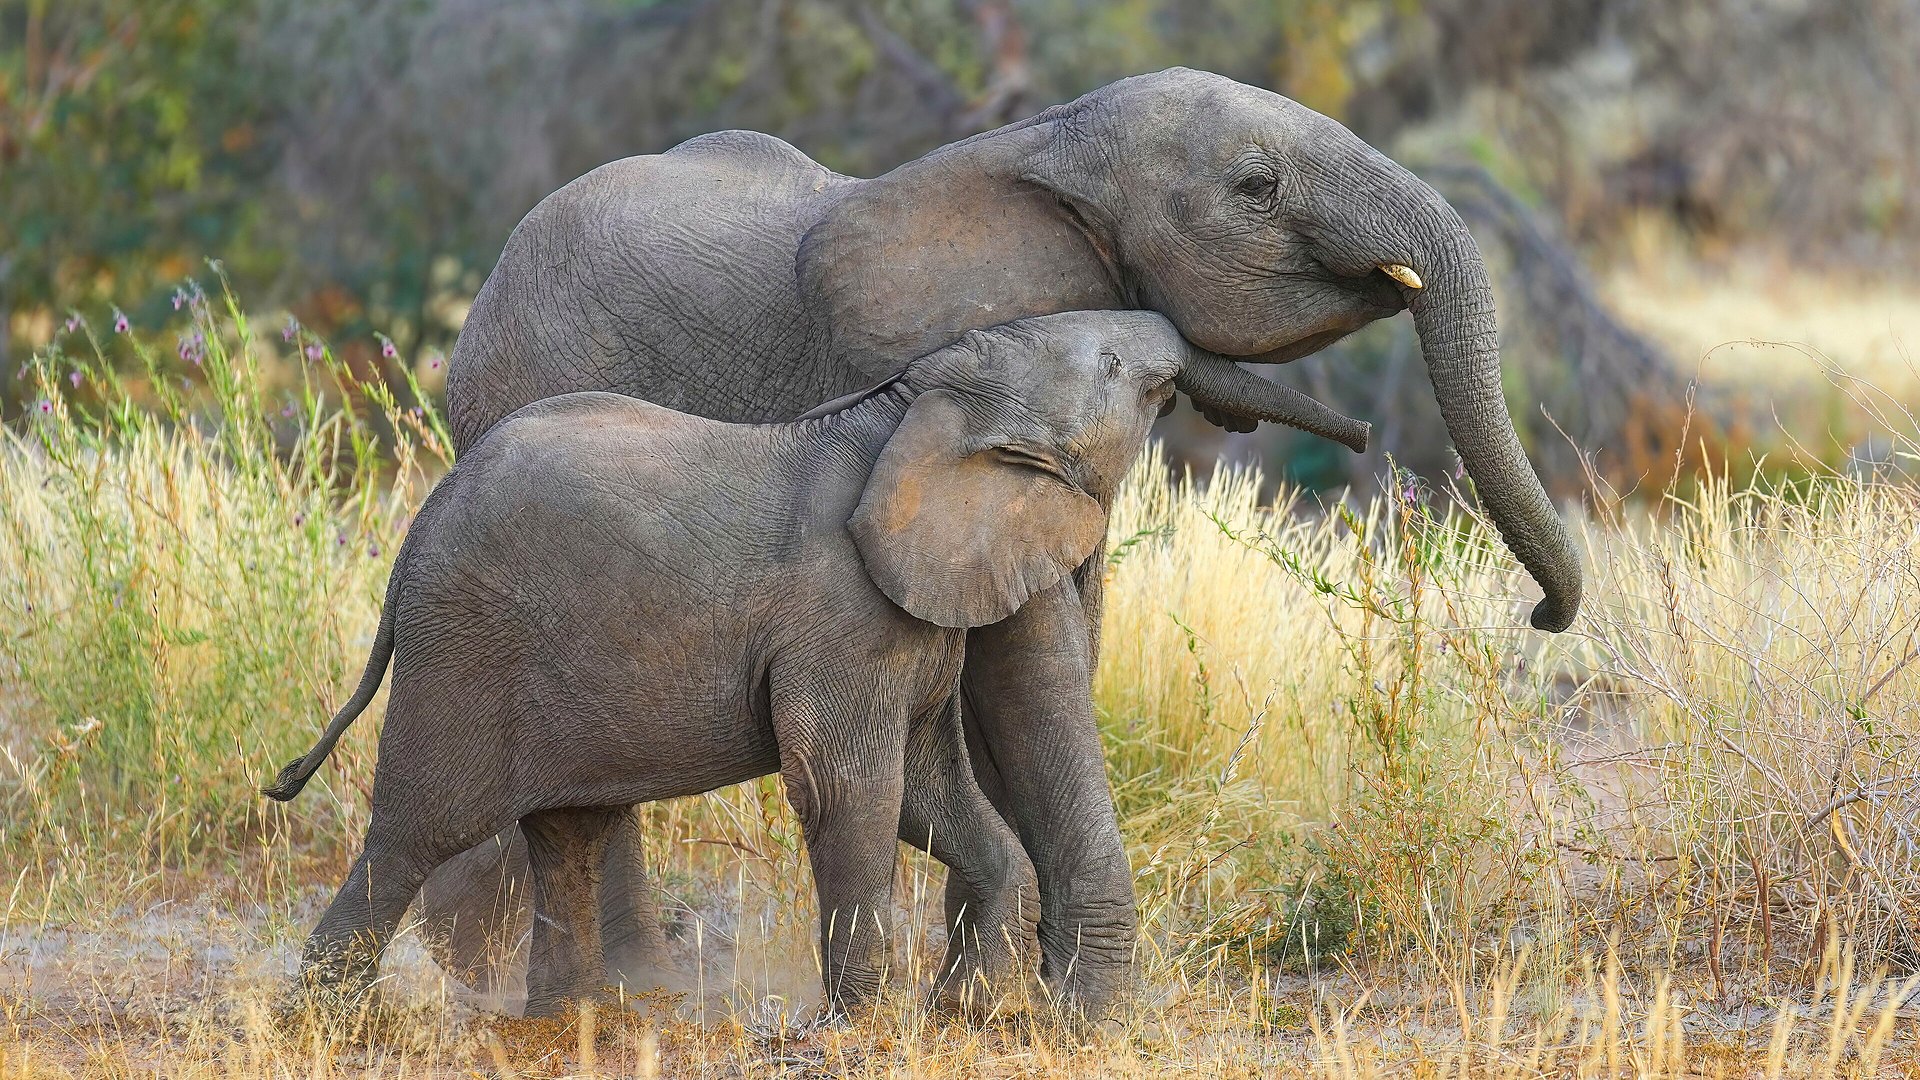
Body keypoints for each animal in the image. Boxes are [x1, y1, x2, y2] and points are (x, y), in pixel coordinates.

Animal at [264, 310, 1364, 1017]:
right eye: (1114, 367)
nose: (1357, 436)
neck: (914, 403)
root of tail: (412, 541)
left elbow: (926, 788)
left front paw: (963, 1010)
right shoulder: (842, 616)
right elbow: (848, 785)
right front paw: (858, 1026)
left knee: (568, 828)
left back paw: (570, 1019)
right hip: (467, 652)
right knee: (416, 834)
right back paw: (322, 1022)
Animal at [426, 66, 1582, 1016]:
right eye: (1255, 188)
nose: (1544, 613)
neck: (1046, 144)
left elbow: (1057, 649)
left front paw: (1002, 997)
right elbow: (1030, 663)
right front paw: (1079, 1012)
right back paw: (622, 996)